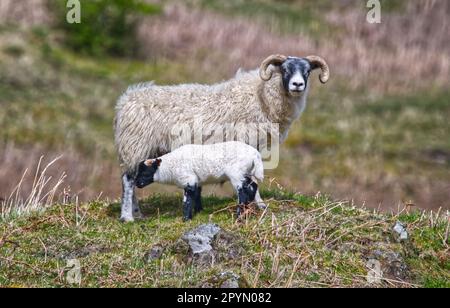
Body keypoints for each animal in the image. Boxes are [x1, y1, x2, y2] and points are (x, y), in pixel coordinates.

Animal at [135, 141, 266, 220]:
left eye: (145, 172)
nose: (137, 184)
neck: (170, 167)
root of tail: (255, 154)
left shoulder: (188, 179)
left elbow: (187, 200)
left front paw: (186, 219)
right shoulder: (196, 180)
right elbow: (197, 195)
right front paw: (198, 211)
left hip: (236, 173)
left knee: (243, 190)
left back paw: (240, 214)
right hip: (246, 171)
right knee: (253, 186)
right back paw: (251, 208)